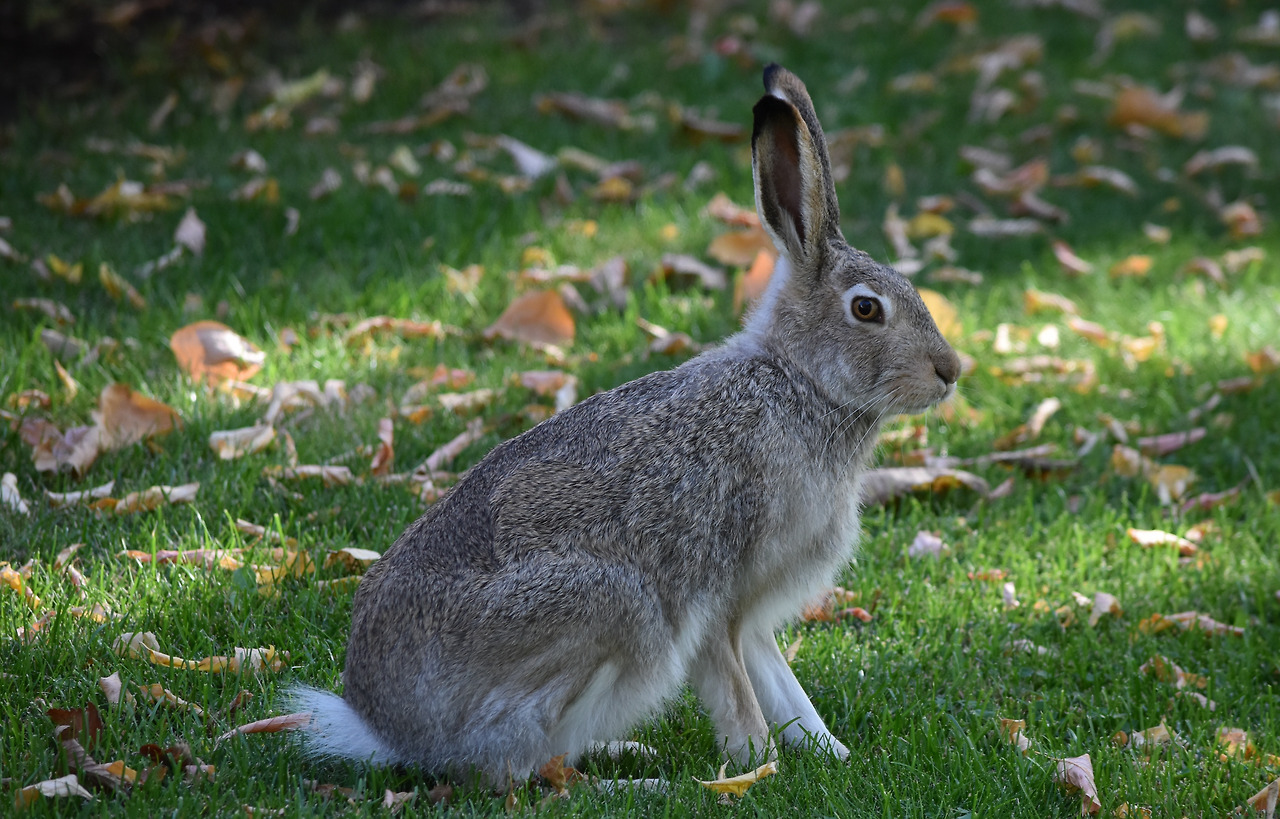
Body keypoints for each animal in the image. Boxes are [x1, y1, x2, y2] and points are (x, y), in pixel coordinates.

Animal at [290, 63, 961, 788]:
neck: (799, 382)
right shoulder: (715, 597)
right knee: (508, 770)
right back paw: (638, 779)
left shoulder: (753, 616)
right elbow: (738, 696)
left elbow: (784, 688)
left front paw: (833, 754)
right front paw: (757, 769)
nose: (950, 370)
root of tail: (388, 729)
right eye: (866, 309)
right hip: (614, 606)